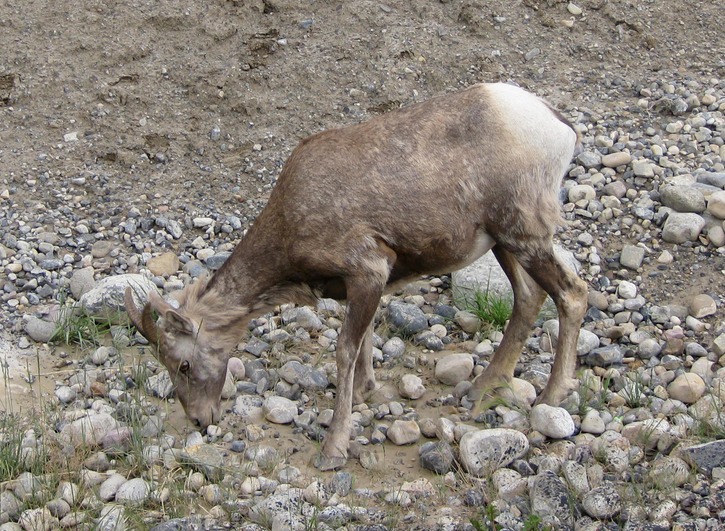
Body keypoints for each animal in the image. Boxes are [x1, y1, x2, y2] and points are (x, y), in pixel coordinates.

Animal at [124, 83, 588, 470]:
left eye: (182, 364)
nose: (200, 420)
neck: (289, 234)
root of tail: (560, 126)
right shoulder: (362, 282)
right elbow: (364, 342)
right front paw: (367, 391)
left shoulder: (367, 266)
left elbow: (345, 349)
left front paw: (334, 447)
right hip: (501, 239)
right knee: (529, 296)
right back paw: (481, 388)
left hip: (525, 228)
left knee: (572, 293)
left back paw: (551, 397)